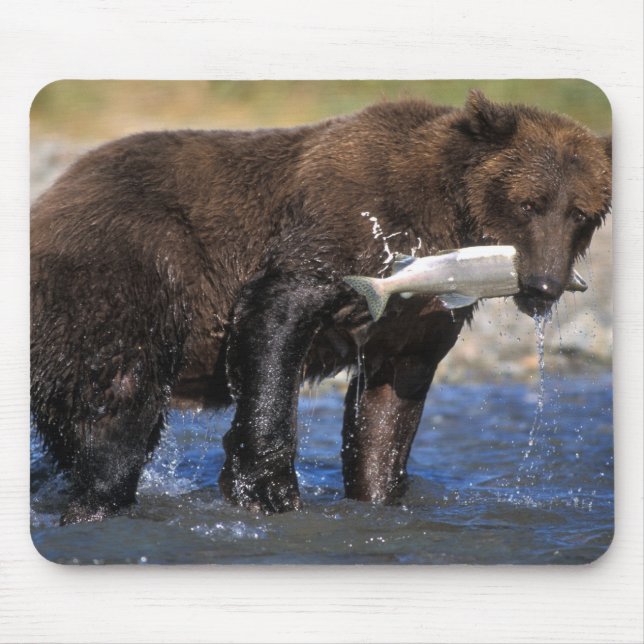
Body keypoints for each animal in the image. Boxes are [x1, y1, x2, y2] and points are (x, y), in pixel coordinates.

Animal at [30, 90, 612, 524]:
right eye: (529, 203)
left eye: (582, 213)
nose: (544, 284)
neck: (444, 220)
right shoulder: (343, 225)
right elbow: (276, 319)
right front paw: (266, 488)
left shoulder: (416, 320)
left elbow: (389, 404)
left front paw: (376, 492)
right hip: (128, 275)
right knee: (121, 408)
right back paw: (98, 503)